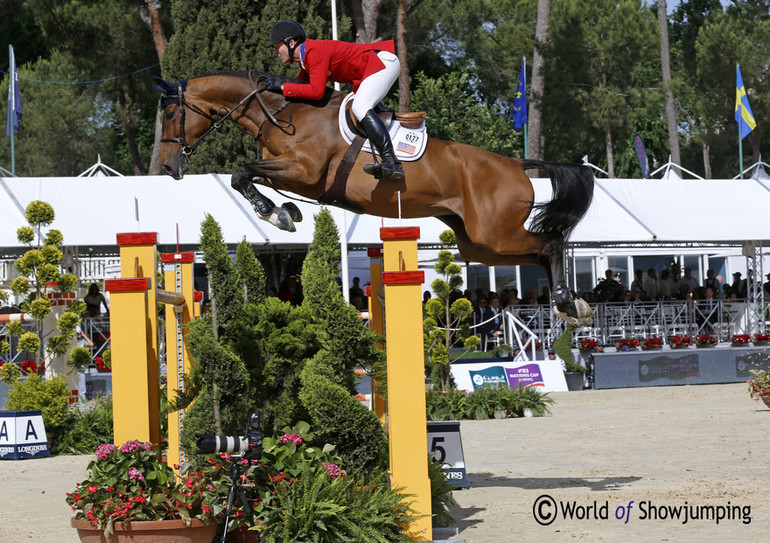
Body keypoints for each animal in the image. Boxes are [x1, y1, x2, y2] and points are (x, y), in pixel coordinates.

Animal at [153, 69, 592, 324]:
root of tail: (517, 163)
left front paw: (274, 213)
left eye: (172, 115)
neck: (283, 112)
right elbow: (247, 176)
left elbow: (240, 172)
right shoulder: (294, 174)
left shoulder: (305, 171)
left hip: (494, 233)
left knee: (550, 242)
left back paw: (569, 303)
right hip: (479, 244)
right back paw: (568, 305)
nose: (168, 167)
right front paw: (285, 211)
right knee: (537, 250)